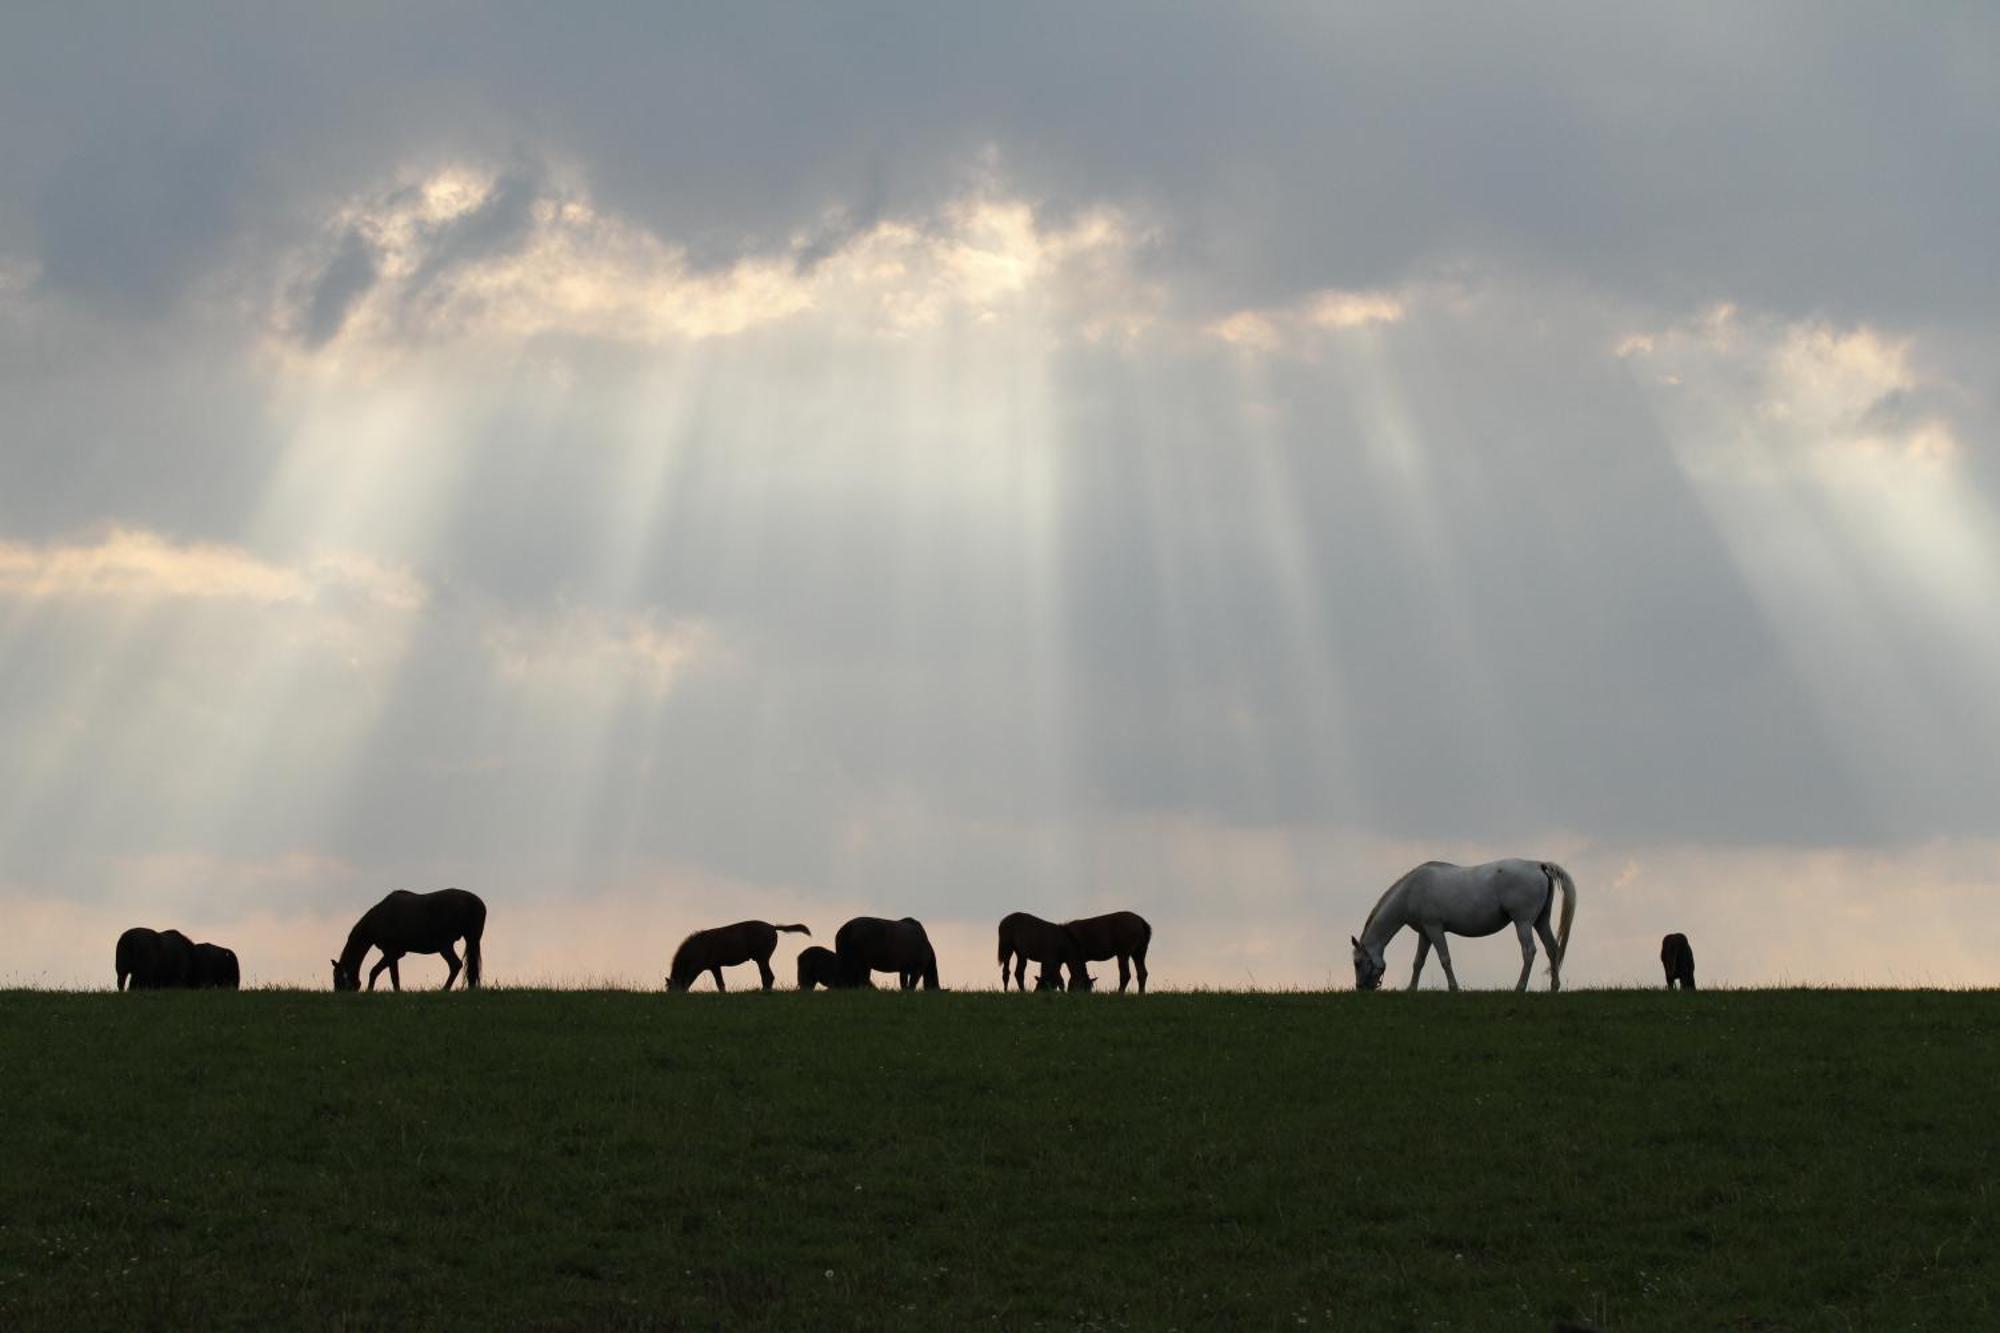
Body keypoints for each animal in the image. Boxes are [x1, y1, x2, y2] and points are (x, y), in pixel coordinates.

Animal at [332, 880, 484, 984]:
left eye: (337, 979)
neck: (379, 918)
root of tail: (473, 902)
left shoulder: (391, 952)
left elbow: (386, 975)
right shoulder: (397, 953)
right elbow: (381, 973)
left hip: (445, 945)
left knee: (456, 965)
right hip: (469, 941)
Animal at [664, 920, 804, 992]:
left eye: (671, 988)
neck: (697, 948)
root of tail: (772, 927)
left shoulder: (712, 966)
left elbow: (720, 983)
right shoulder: (715, 966)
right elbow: (720, 983)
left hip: (762, 958)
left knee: (768, 976)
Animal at [1344, 856, 1576, 992]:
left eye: (1357, 963)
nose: (1360, 987)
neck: (1411, 891)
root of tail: (1539, 865)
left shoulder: (1435, 928)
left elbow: (1445, 959)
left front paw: (1454, 988)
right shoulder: (1425, 933)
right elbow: (1418, 962)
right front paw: (1411, 989)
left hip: (1523, 922)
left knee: (1529, 951)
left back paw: (1519, 987)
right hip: (1540, 921)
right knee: (1552, 949)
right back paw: (1554, 987)